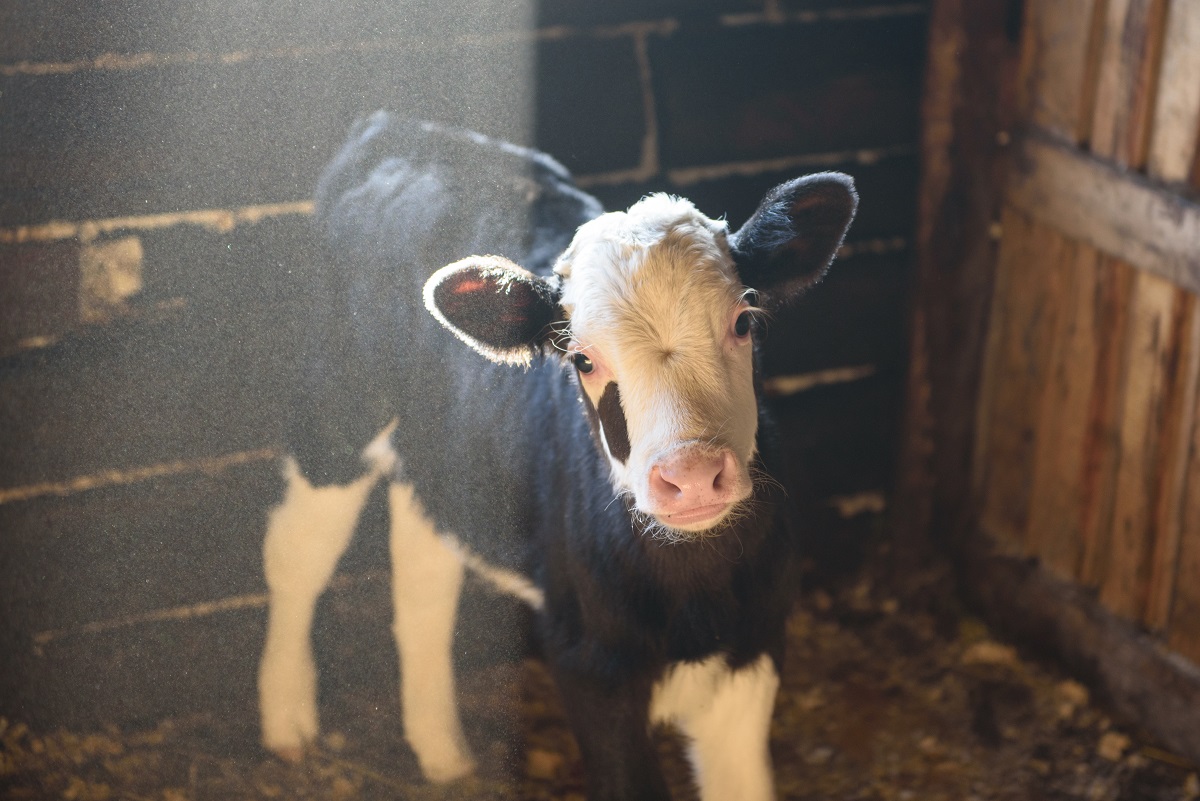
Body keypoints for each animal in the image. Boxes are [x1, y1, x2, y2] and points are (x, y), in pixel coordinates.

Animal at [258, 111, 856, 800]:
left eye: (743, 323)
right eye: (582, 359)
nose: (691, 476)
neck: (691, 587)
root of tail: (399, 125)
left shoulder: (755, 644)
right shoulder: (589, 661)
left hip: (451, 449)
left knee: (424, 572)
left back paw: (443, 753)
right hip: (334, 406)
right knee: (298, 553)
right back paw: (287, 720)